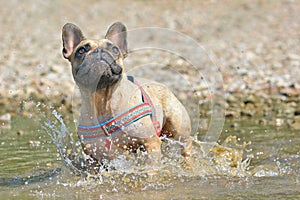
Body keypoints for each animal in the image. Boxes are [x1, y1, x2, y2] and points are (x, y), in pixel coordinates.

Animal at [61, 21, 192, 172]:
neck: (102, 100)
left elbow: (151, 167)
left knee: (186, 146)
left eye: (114, 49)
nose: (99, 51)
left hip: (178, 128)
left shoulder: (151, 143)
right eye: (81, 50)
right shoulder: (93, 158)